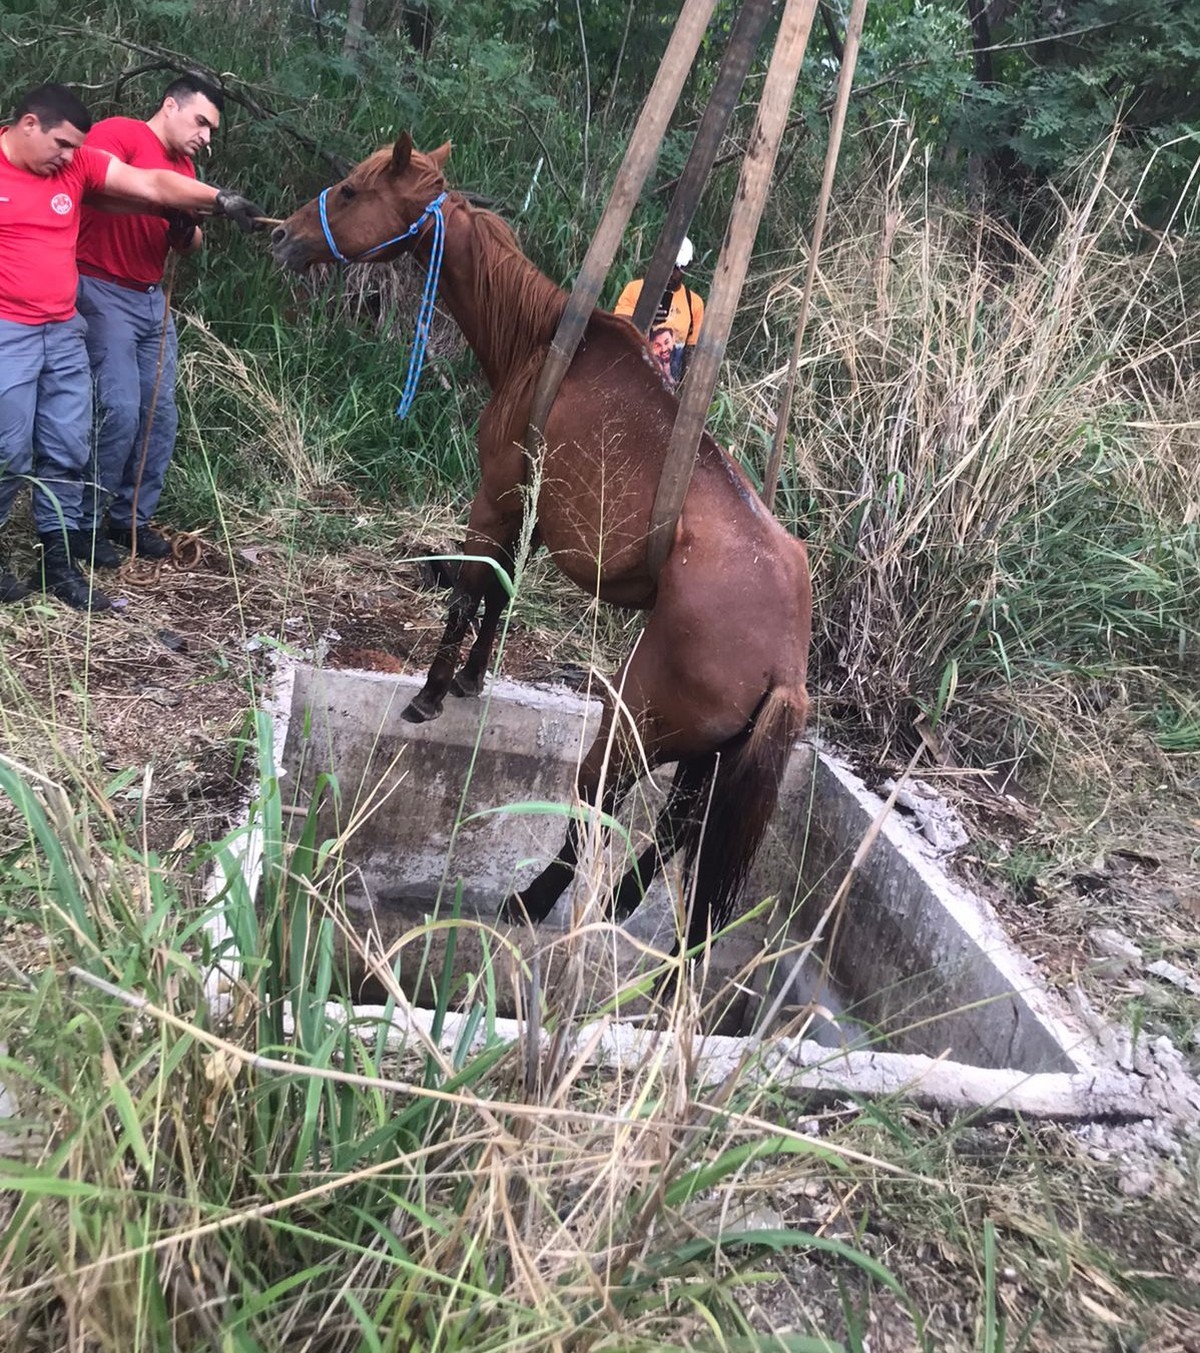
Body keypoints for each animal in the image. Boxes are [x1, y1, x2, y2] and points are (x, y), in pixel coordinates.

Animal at [270, 134, 812, 963]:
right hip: (709, 757)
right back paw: (621, 905)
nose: (285, 236)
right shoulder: (522, 508)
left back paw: (534, 901)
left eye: (354, 190)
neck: (546, 340)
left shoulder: (495, 494)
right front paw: (472, 679)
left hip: (634, 726)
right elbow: (500, 588)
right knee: (676, 829)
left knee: (601, 804)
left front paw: (433, 691)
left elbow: (470, 587)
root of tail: (786, 660)